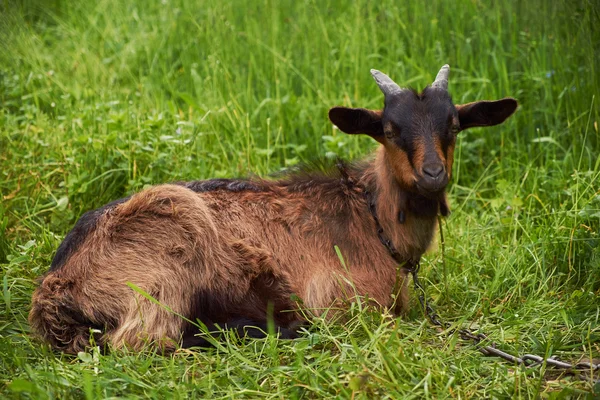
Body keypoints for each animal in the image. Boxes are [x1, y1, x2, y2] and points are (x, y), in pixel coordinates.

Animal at [28, 65, 516, 354]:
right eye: (391, 130)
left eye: (454, 125)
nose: (433, 174)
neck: (371, 217)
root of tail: (54, 285)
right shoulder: (344, 302)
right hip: (166, 253)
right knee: (140, 341)